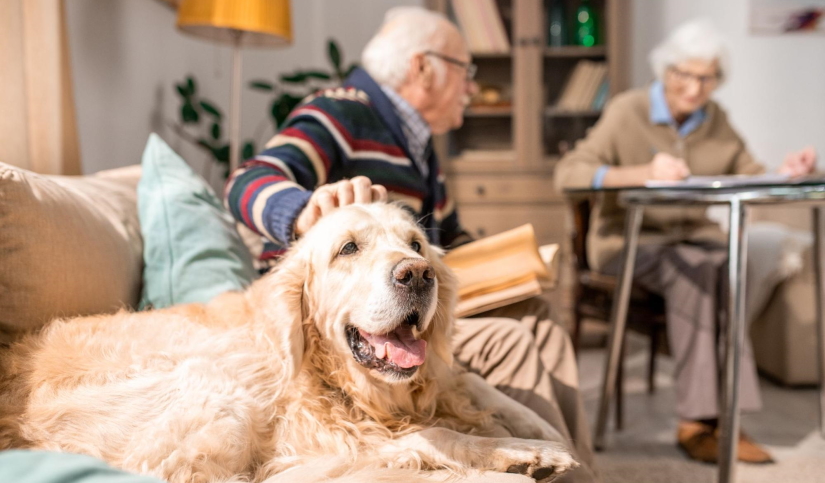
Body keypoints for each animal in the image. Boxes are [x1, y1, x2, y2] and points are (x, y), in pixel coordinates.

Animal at [0, 202, 576, 482]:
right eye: (348, 249)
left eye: (416, 244)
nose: (416, 274)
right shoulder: (316, 434)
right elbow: (440, 435)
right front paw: (521, 452)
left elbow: (475, 387)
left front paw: (541, 429)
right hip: (217, 389)